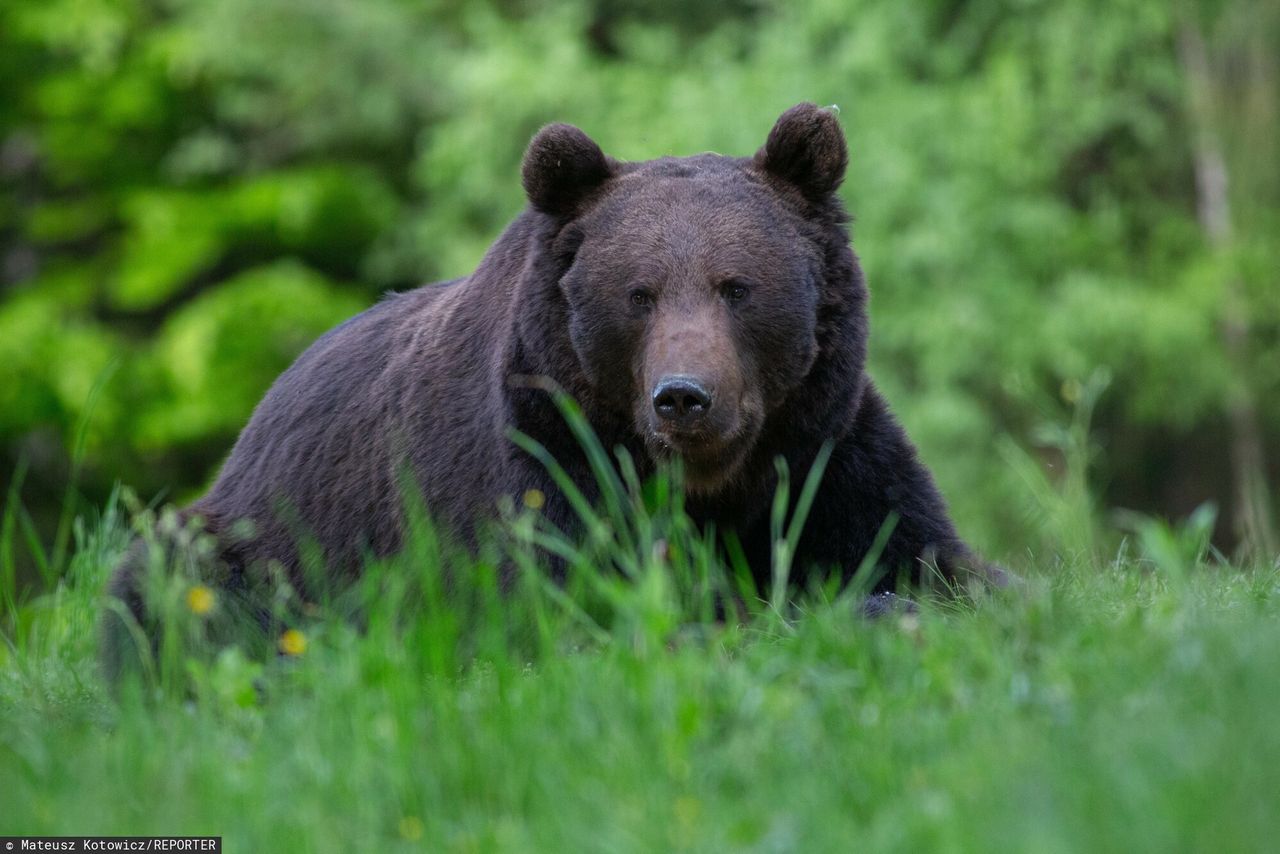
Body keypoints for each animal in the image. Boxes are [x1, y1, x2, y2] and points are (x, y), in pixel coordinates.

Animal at [102, 101, 998, 676]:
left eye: (736, 286)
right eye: (639, 293)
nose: (684, 397)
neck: (708, 484)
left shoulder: (823, 451)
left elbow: (928, 552)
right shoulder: (541, 460)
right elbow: (579, 606)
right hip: (260, 539)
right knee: (173, 588)